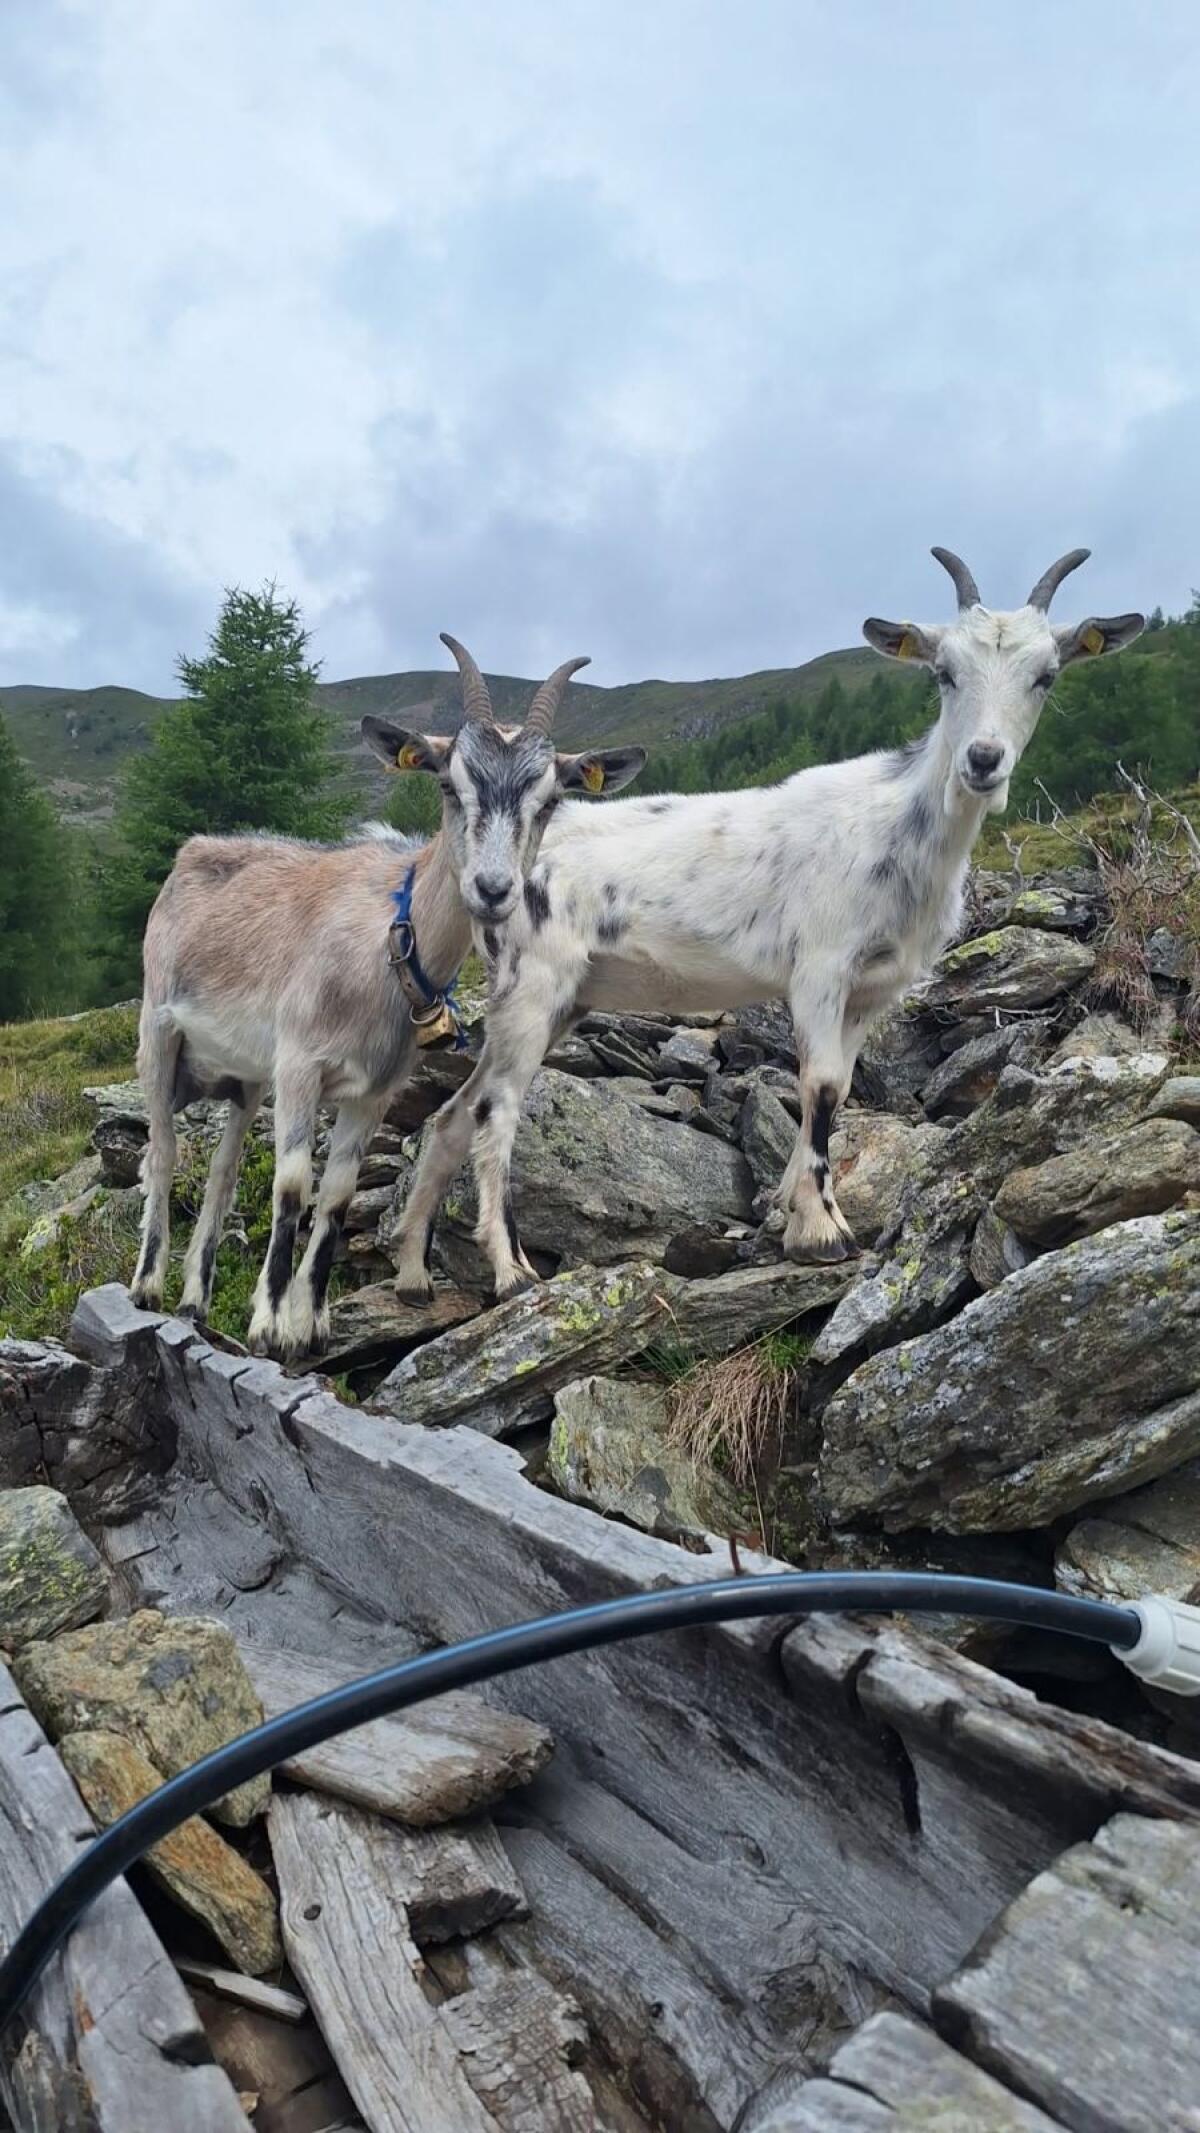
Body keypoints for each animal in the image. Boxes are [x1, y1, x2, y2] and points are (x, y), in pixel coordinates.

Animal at [130, 636, 645, 1359]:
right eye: (448, 783)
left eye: (549, 801)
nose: (492, 889)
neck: (389, 942)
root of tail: (191, 854)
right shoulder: (300, 1064)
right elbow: (293, 1185)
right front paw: (270, 1325)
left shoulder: (373, 1090)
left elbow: (339, 1194)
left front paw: (311, 1323)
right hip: (159, 1033)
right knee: (163, 1151)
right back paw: (147, 1288)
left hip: (245, 1081)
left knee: (222, 1173)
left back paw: (194, 1299)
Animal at [389, 549, 1145, 1301]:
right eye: (943, 671)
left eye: (1046, 674)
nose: (984, 759)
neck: (898, 831)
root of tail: (475, 868)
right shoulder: (820, 967)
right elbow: (821, 1085)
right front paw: (823, 1231)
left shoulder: (874, 988)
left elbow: (838, 1083)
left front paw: (796, 1211)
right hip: (534, 981)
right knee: (497, 1109)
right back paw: (509, 1268)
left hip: (561, 999)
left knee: (454, 1113)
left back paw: (412, 1273)